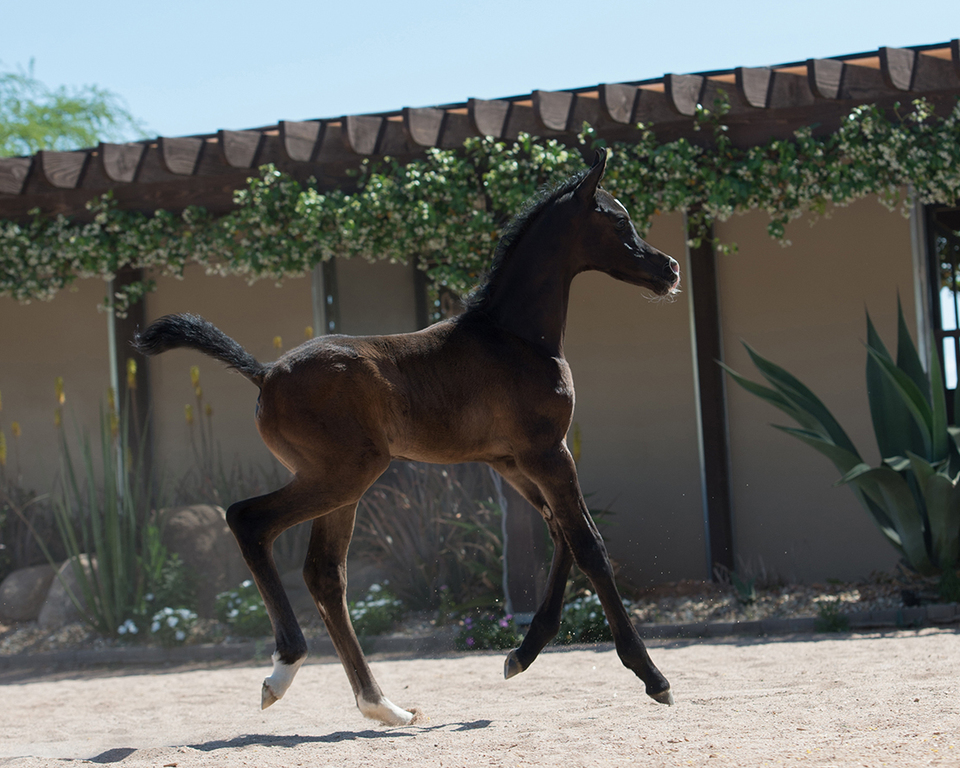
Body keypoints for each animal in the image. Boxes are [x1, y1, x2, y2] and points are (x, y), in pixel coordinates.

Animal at [135, 150, 680, 726]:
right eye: (618, 221)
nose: (669, 269)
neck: (514, 336)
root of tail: (264, 374)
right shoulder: (546, 452)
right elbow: (590, 545)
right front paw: (653, 676)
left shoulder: (513, 461)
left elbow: (563, 536)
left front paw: (521, 654)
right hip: (343, 474)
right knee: (248, 520)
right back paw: (286, 668)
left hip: (339, 484)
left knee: (325, 573)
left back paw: (382, 707)